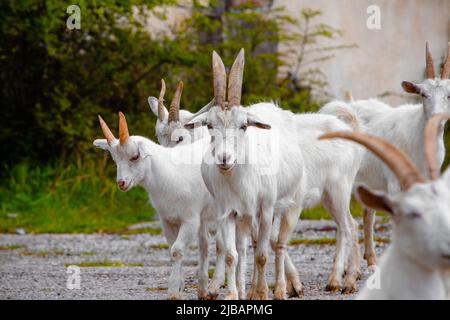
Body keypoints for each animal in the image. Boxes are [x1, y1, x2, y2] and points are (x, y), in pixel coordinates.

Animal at [93, 109, 218, 298]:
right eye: (115, 159)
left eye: (135, 156)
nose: (121, 183)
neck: (170, 173)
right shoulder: (167, 219)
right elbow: (173, 249)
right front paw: (179, 287)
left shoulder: (190, 220)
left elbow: (177, 251)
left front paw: (173, 291)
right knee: (206, 243)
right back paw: (203, 289)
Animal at [187, 48, 366, 298]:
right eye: (210, 125)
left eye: (243, 125)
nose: (224, 159)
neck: (240, 179)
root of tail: (351, 129)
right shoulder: (228, 212)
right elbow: (233, 255)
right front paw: (236, 293)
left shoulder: (265, 209)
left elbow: (262, 255)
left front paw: (263, 292)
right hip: (325, 197)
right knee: (343, 227)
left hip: (336, 190)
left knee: (345, 227)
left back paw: (340, 281)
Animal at [320, 43, 450, 268]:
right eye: (423, 94)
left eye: (449, 95)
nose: (437, 118)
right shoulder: (394, 183)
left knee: (366, 214)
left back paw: (370, 260)